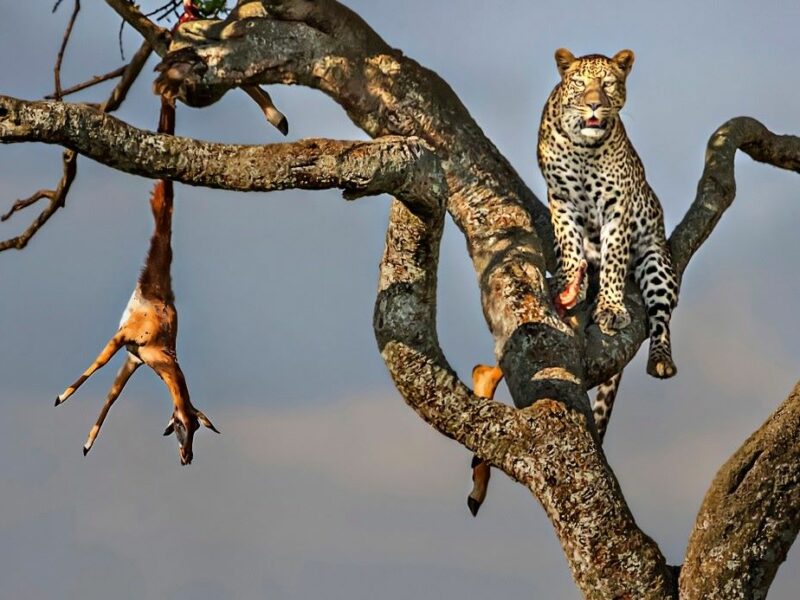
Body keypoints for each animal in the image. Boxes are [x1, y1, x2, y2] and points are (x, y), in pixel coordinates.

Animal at [538, 48, 679, 438]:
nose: (594, 105)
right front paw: (569, 281)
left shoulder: (619, 208)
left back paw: (661, 360)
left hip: (657, 264)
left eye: (608, 84)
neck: (585, 148)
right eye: (580, 83)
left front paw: (611, 308)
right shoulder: (560, 199)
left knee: (661, 318)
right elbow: (568, 243)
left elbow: (615, 258)